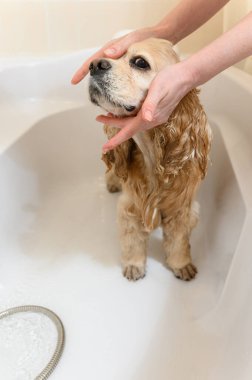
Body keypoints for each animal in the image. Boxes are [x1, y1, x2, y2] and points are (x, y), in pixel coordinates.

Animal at [87, 38, 212, 280]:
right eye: (116, 55)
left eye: (140, 62)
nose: (95, 64)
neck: (153, 156)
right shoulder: (131, 206)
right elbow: (132, 240)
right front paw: (134, 265)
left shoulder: (182, 208)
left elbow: (179, 241)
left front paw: (182, 264)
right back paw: (112, 182)